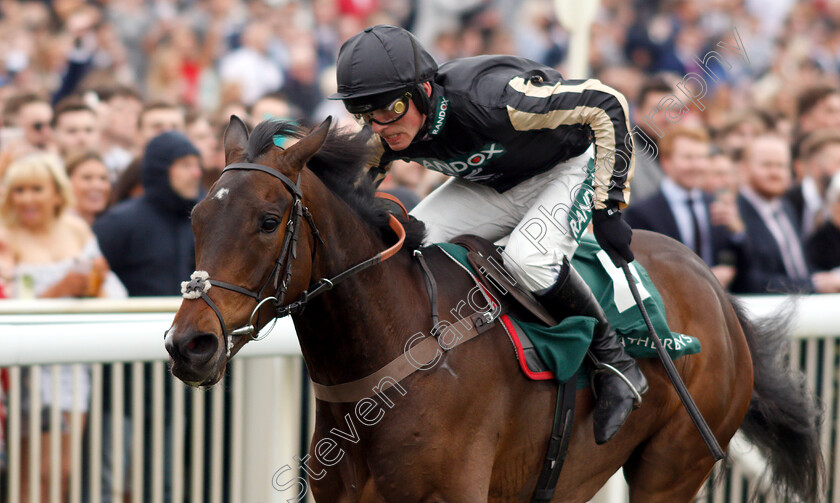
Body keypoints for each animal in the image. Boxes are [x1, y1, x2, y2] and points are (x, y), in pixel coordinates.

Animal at [162, 116, 820, 502]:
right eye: (194, 217)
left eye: (268, 220)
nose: (189, 344)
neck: (394, 354)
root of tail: (712, 285)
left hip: (674, 466)